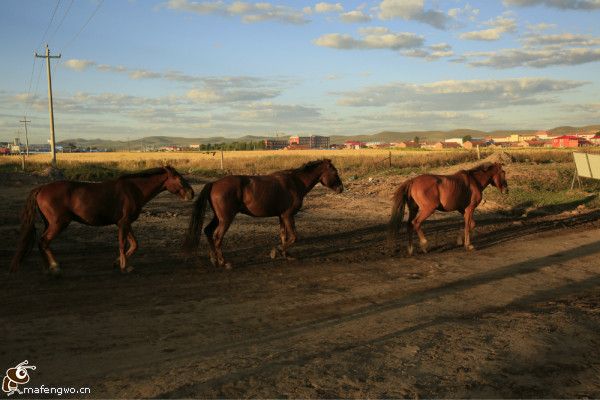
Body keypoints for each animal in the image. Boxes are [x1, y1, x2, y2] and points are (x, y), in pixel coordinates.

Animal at [9, 166, 192, 276]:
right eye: (179, 179)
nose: (192, 193)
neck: (133, 189)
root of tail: (41, 188)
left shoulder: (125, 223)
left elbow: (134, 244)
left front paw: (118, 262)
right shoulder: (123, 223)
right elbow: (122, 244)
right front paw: (124, 267)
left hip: (51, 223)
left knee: (43, 243)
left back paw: (48, 268)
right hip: (58, 224)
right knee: (43, 242)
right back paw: (54, 267)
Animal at [183, 159, 342, 268]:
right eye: (335, 173)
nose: (341, 188)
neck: (294, 183)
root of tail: (214, 184)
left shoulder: (282, 216)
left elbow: (284, 236)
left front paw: (286, 255)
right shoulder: (288, 215)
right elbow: (293, 237)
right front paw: (276, 251)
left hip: (218, 217)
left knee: (208, 231)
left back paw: (214, 259)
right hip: (225, 219)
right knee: (217, 236)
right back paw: (224, 262)